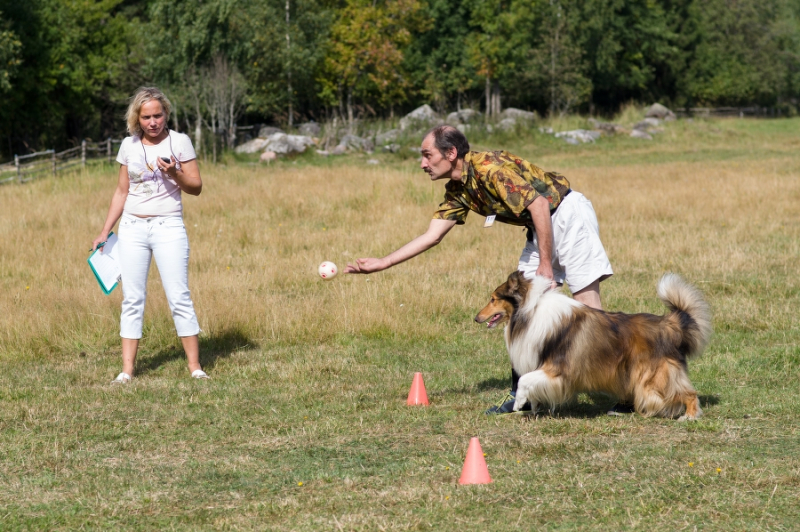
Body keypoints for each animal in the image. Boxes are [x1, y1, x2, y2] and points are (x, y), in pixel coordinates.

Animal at [476, 274, 712, 420]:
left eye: (493, 299)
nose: (476, 318)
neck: (530, 311)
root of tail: (669, 324)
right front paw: (532, 406)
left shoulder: (557, 368)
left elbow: (524, 379)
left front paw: (518, 403)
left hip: (654, 379)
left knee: (688, 393)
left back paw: (689, 416)